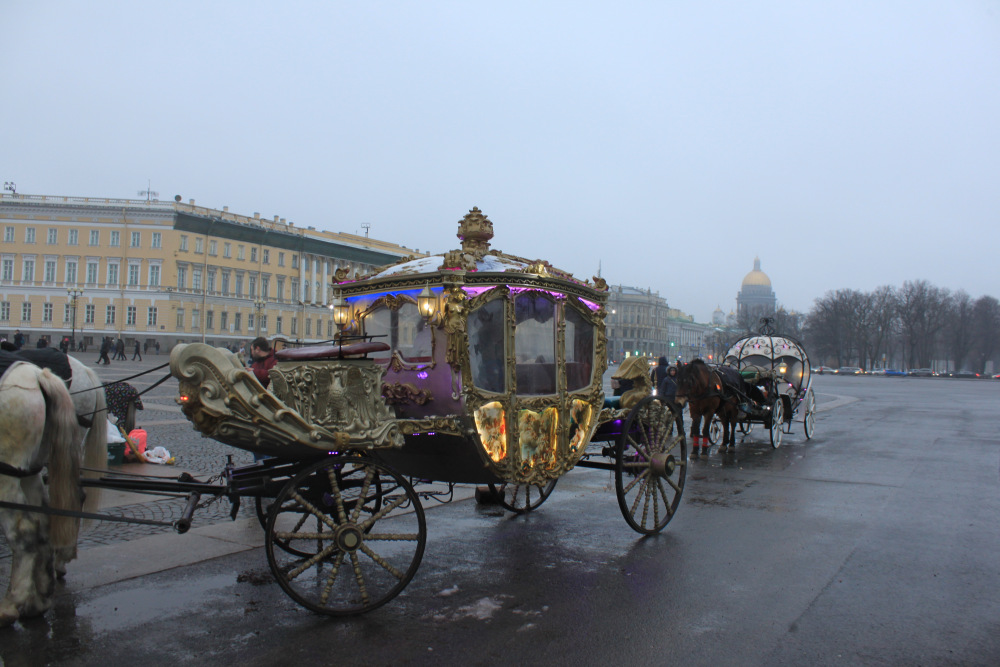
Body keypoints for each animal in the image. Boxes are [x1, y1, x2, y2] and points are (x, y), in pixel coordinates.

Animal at [0, 360, 84, 628]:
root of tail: (37, 375)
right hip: (29, 470)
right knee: (43, 523)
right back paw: (39, 599)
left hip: (7, 472)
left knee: (24, 530)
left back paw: (10, 605)